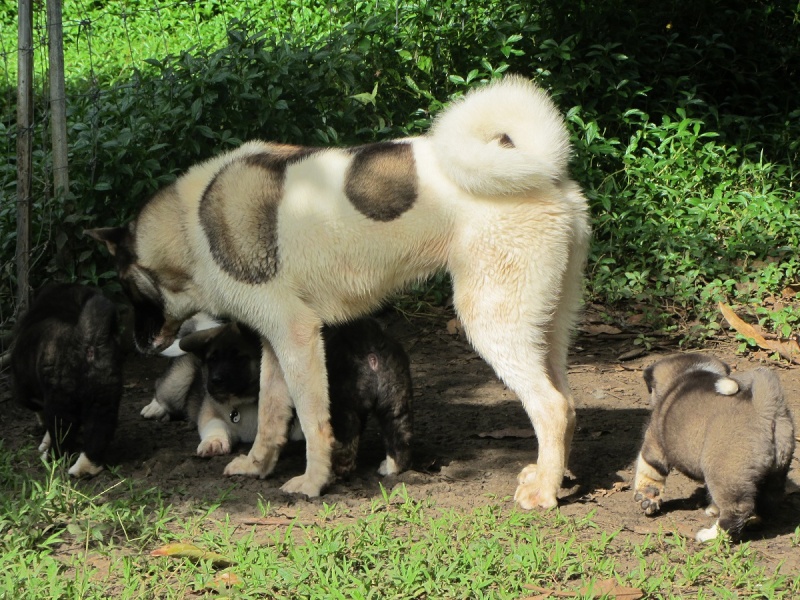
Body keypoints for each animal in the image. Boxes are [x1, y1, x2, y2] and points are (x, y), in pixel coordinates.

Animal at [10, 284, 123, 476]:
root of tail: (89, 341)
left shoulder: (29, 391)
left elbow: (43, 415)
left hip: (62, 400)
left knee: (61, 433)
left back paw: (50, 458)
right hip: (104, 397)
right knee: (98, 430)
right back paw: (85, 468)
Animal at [180, 318, 412, 478]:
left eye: (239, 359)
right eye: (212, 360)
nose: (215, 381)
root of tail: (370, 348)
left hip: (342, 408)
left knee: (345, 445)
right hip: (395, 404)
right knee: (399, 439)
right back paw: (391, 468)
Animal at [632, 354, 792, 540]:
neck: (688, 372)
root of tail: (764, 409)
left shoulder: (655, 444)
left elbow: (649, 472)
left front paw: (647, 498)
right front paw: (713, 509)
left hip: (723, 475)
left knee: (737, 510)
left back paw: (711, 535)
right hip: (775, 473)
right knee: (766, 501)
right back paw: (754, 520)